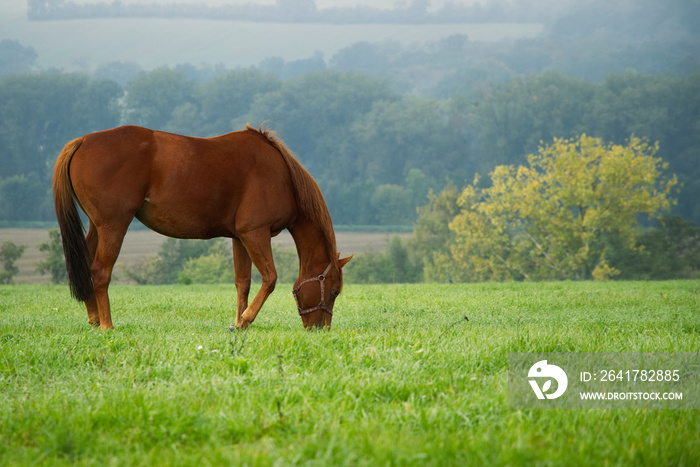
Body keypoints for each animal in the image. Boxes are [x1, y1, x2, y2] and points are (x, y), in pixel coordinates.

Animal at [52, 122, 352, 330]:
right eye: (334, 291)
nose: (320, 329)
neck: (282, 176)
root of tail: (83, 141)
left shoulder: (240, 238)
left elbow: (242, 283)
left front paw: (238, 323)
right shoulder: (255, 234)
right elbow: (270, 278)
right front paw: (246, 319)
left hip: (97, 227)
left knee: (85, 266)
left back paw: (94, 318)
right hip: (113, 226)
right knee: (100, 271)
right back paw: (107, 325)